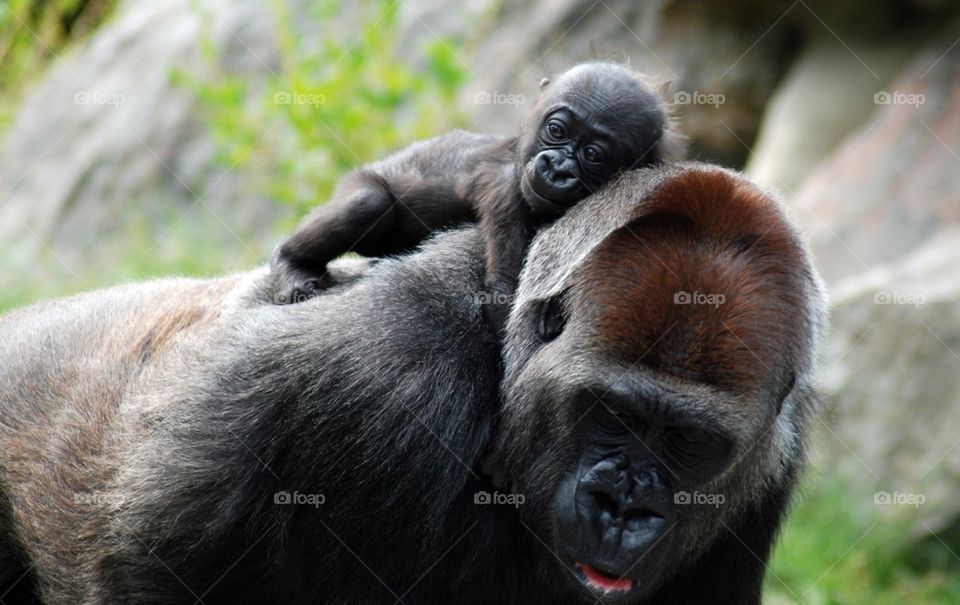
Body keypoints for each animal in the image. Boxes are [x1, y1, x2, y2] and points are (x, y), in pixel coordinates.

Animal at [270, 61, 686, 333]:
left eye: (593, 155)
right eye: (557, 130)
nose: (556, 168)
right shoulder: (505, 187)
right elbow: (502, 294)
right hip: (360, 181)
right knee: (368, 203)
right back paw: (291, 262)